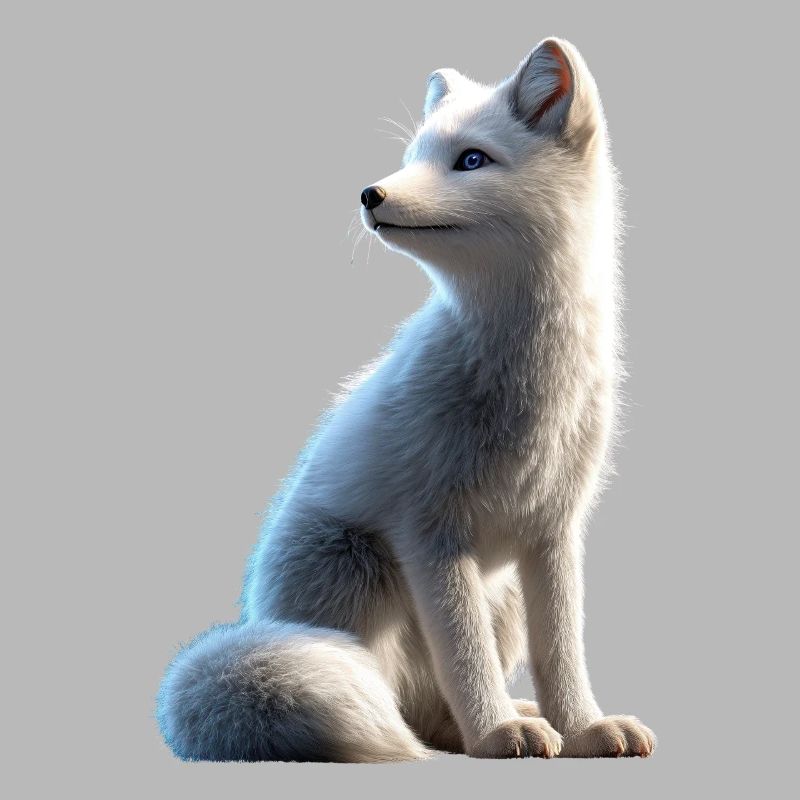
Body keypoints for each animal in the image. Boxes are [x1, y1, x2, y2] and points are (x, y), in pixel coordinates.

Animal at [157, 37, 656, 762]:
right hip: (360, 572)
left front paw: (586, 727)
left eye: (471, 159)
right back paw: (478, 729)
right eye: (415, 154)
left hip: (499, 595)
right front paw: (497, 733)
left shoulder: (554, 531)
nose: (371, 192)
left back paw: (512, 720)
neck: (527, 379)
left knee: (431, 709)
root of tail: (258, 617)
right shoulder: (430, 532)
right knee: (403, 704)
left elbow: (563, 650)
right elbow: (467, 659)